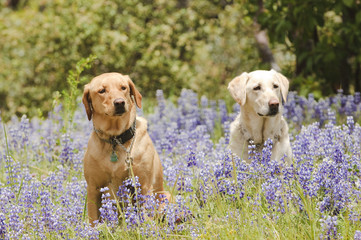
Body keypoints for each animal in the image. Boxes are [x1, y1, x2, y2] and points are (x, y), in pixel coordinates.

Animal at [82, 71, 169, 225]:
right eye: (102, 91)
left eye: (123, 88)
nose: (119, 102)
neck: (115, 140)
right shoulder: (93, 188)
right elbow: (93, 220)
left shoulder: (143, 185)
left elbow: (145, 216)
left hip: (166, 196)